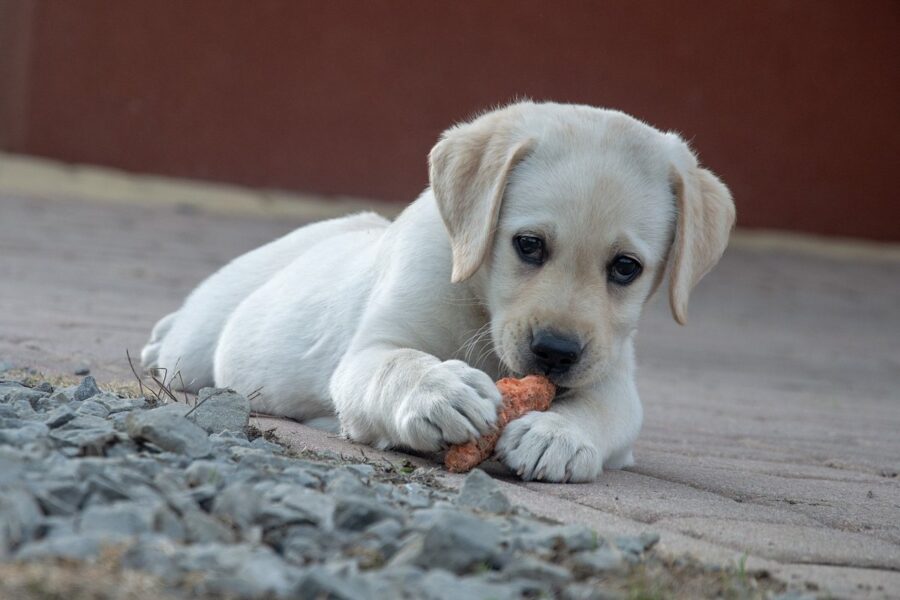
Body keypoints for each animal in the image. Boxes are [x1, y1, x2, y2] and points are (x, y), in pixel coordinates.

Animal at [141, 99, 732, 482]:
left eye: (626, 268)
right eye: (529, 245)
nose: (556, 352)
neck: (480, 307)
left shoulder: (613, 376)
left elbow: (603, 410)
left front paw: (558, 435)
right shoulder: (368, 352)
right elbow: (397, 364)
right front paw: (440, 391)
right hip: (199, 344)